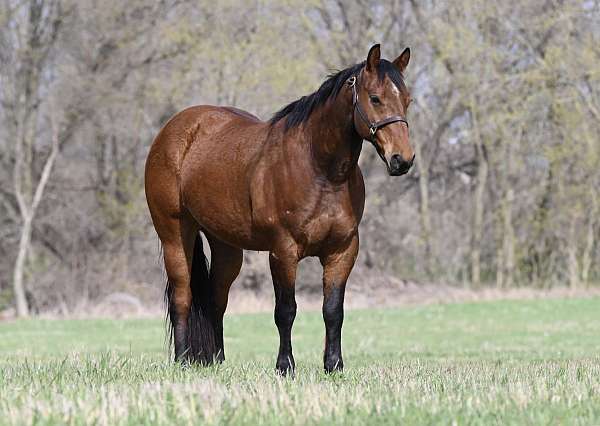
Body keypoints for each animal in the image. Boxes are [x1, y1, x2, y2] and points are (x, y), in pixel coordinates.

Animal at [145, 43, 414, 374]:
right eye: (375, 98)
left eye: (407, 100)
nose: (402, 159)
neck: (320, 170)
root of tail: (176, 128)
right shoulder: (283, 251)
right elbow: (285, 310)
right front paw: (285, 366)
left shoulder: (342, 251)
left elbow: (333, 310)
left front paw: (334, 365)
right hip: (174, 234)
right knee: (182, 295)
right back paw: (183, 360)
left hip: (226, 246)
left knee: (216, 299)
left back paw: (218, 360)